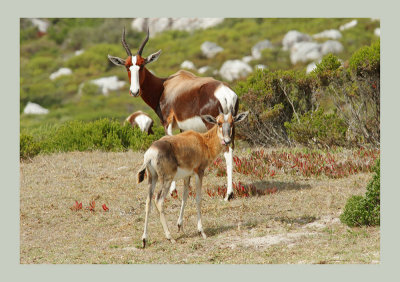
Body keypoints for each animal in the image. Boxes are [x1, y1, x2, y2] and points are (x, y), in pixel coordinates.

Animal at [108, 28, 239, 200]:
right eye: (127, 66)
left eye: (142, 65)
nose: (134, 91)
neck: (165, 86)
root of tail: (225, 92)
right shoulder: (183, 128)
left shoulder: (167, 122)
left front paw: (172, 190)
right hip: (231, 126)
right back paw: (230, 193)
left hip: (214, 125)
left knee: (227, 152)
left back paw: (228, 194)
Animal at [137, 110, 247, 247]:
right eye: (219, 123)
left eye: (232, 122)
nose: (226, 141)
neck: (202, 141)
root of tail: (150, 154)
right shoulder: (199, 172)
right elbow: (198, 198)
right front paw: (201, 232)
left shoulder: (187, 175)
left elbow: (185, 197)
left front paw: (180, 225)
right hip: (166, 179)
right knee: (159, 200)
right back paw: (170, 237)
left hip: (152, 179)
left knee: (148, 201)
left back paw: (144, 239)